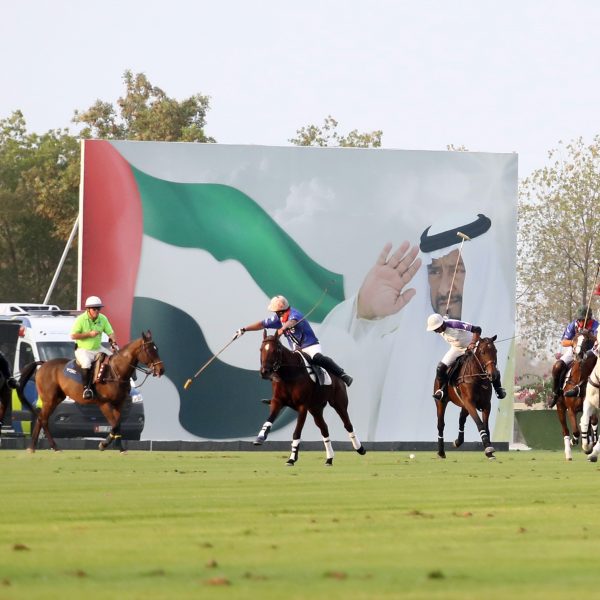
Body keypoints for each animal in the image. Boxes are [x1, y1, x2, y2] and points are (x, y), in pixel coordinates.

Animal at [18, 330, 164, 452]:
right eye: (150, 350)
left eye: (157, 348)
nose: (161, 370)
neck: (115, 372)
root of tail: (43, 364)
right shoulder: (104, 404)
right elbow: (115, 424)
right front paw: (104, 445)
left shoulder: (119, 403)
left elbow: (118, 424)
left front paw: (119, 447)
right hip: (49, 399)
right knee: (42, 419)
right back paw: (45, 447)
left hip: (56, 399)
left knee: (42, 419)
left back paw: (39, 447)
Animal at [253, 330, 366, 466]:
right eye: (261, 349)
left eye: (276, 350)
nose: (265, 372)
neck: (289, 374)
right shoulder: (277, 401)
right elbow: (269, 420)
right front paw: (260, 437)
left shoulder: (302, 406)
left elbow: (297, 433)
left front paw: (292, 458)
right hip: (315, 409)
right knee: (324, 428)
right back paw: (329, 458)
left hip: (339, 403)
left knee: (348, 425)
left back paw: (360, 448)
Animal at [556, 328, 596, 460]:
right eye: (574, 339)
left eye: (587, 340)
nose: (578, 354)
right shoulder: (570, 409)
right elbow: (576, 431)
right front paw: (574, 441)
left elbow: (591, 423)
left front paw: (589, 445)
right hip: (560, 407)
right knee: (565, 430)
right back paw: (568, 453)